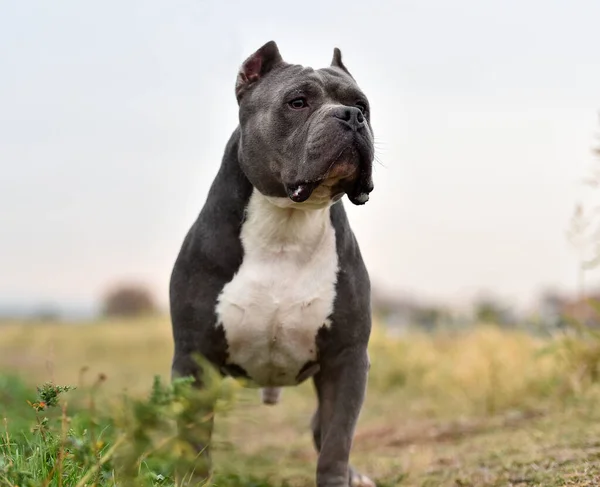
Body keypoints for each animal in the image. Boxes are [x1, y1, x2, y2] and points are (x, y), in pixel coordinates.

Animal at [169, 40, 376, 486]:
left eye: (363, 105)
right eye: (297, 102)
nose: (351, 117)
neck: (286, 225)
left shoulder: (346, 359)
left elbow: (336, 443)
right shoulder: (195, 358)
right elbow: (194, 443)